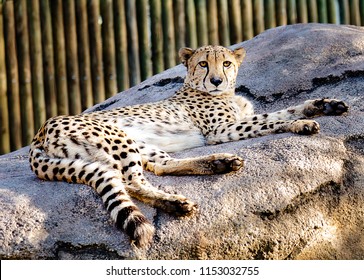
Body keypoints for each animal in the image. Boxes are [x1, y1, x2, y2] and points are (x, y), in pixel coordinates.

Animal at [27, 44, 346, 248]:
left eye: (226, 63)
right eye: (203, 63)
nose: (216, 80)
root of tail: (39, 133)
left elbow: (280, 112)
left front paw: (323, 105)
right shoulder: (219, 130)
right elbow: (270, 122)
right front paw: (300, 124)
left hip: (141, 145)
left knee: (161, 166)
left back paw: (219, 163)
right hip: (119, 138)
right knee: (131, 182)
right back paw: (177, 203)